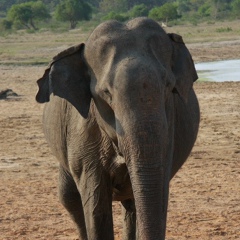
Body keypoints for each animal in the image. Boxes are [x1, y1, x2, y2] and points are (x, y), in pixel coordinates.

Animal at [35, 17, 200, 240]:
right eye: (106, 93)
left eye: (168, 86)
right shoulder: (83, 137)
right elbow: (96, 205)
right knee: (69, 198)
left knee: (131, 204)